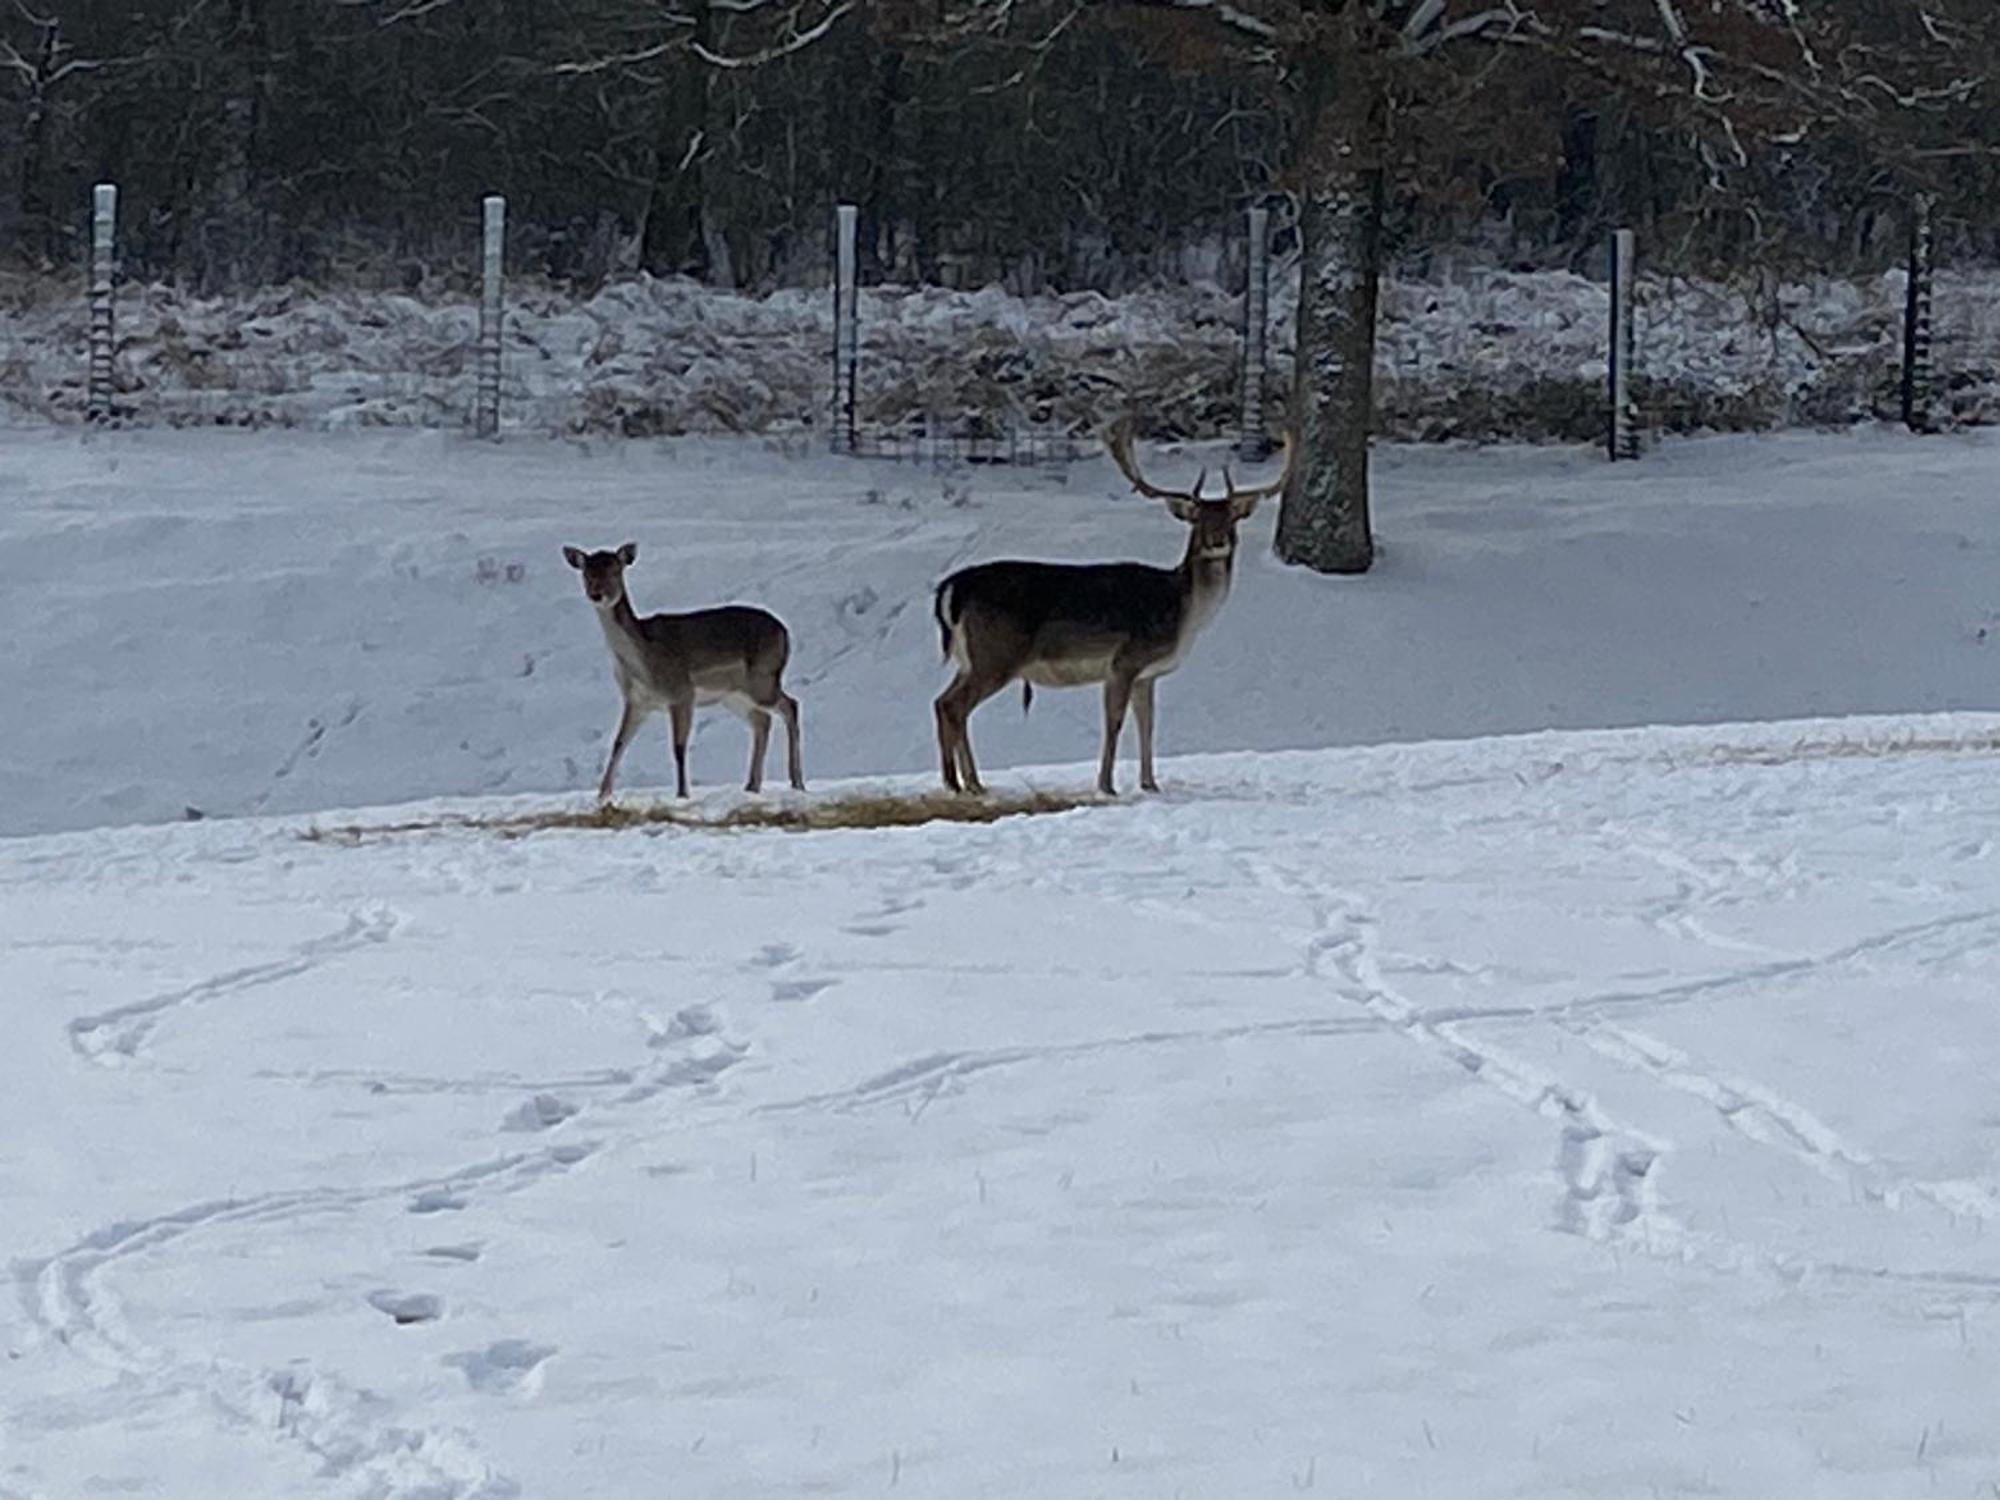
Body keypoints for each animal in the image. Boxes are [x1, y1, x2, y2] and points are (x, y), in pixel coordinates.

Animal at [924, 424, 1296, 800]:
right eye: (1198, 519)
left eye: (1231, 517)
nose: (1218, 541)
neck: (1185, 611)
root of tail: (951, 589)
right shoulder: (1124, 661)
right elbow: (1114, 723)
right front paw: (1106, 785)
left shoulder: (1148, 674)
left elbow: (1147, 724)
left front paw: (1150, 784)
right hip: (996, 654)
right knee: (953, 706)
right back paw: (957, 782)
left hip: (969, 659)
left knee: (944, 702)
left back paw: (971, 782)